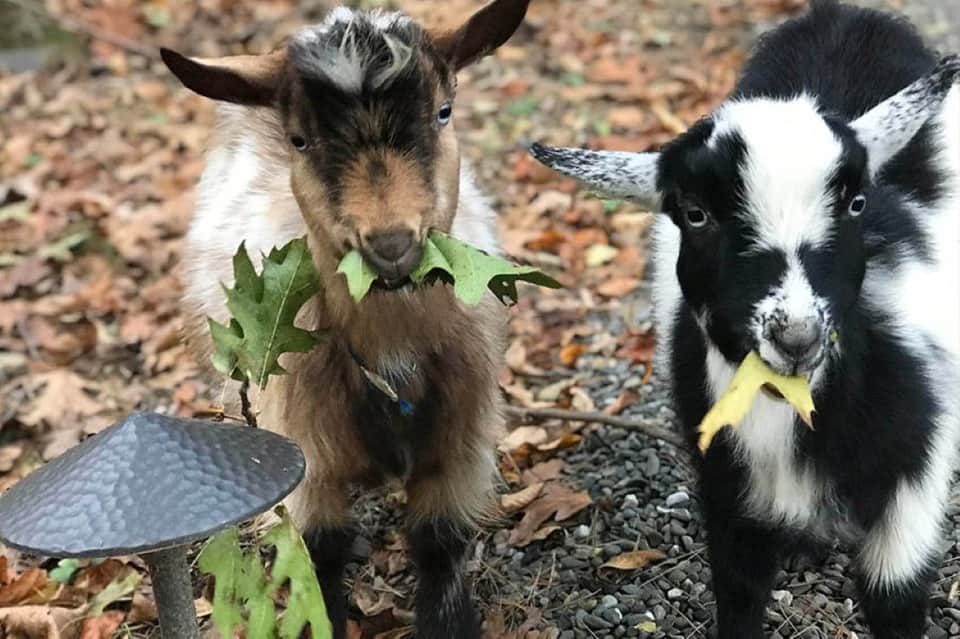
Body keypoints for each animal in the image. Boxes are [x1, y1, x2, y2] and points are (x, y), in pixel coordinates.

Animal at [160, 2, 529, 637]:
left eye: (444, 112)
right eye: (300, 140)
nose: (391, 246)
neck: (391, 355)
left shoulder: (462, 436)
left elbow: (439, 540)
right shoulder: (305, 449)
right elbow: (317, 550)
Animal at [529, 2, 960, 637]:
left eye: (857, 203)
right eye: (695, 214)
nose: (797, 337)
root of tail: (849, 16)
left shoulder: (913, 486)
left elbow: (895, 597)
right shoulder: (726, 484)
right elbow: (739, 590)